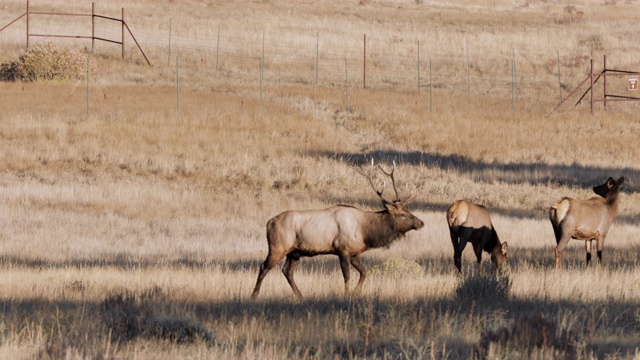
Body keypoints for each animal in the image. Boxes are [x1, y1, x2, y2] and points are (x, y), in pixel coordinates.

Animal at [250, 162, 424, 300]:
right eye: (402, 214)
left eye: (408, 210)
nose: (421, 223)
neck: (365, 232)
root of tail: (269, 223)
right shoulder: (342, 249)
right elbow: (347, 276)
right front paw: (347, 294)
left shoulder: (355, 252)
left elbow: (364, 272)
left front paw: (355, 293)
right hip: (278, 247)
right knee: (263, 267)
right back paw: (254, 295)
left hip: (294, 252)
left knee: (287, 271)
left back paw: (300, 296)